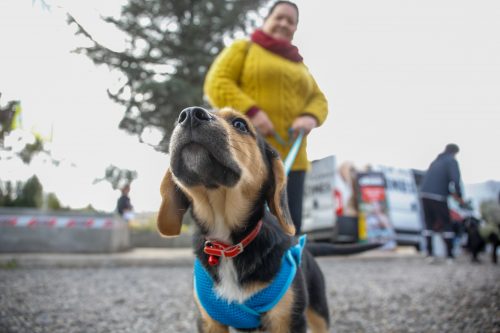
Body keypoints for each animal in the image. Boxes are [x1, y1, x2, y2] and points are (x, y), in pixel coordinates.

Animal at [158, 107, 330, 332]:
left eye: (240, 124)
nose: (189, 115)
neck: (228, 246)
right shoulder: (209, 321)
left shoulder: (286, 319)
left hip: (319, 311)